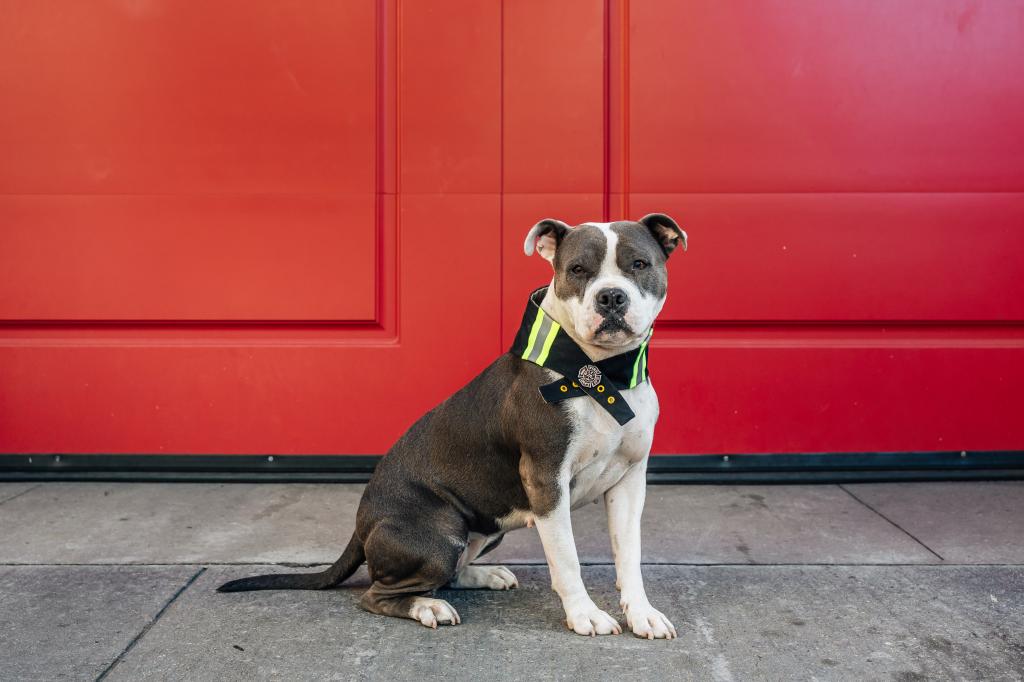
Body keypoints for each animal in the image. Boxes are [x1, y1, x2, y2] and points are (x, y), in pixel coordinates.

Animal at [221, 212, 692, 638]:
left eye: (639, 264)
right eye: (578, 270)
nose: (611, 297)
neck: (603, 373)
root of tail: (360, 526)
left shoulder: (629, 482)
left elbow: (629, 555)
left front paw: (642, 613)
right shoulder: (545, 481)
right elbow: (567, 558)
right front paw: (585, 615)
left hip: (487, 520)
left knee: (450, 570)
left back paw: (484, 576)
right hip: (440, 532)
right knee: (378, 594)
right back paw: (427, 606)